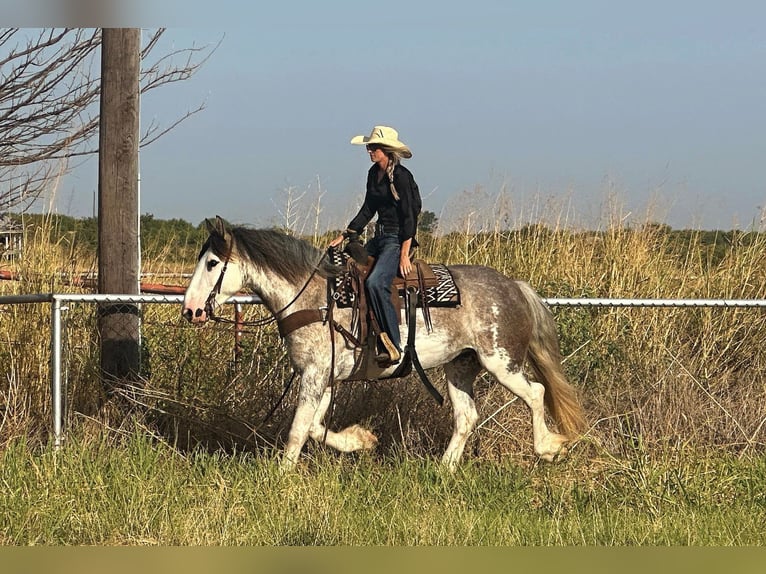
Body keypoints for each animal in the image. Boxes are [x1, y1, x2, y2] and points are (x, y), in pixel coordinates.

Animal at [183, 216, 584, 472]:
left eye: (212, 263)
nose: (191, 310)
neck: (317, 299)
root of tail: (514, 286)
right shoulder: (325, 377)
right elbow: (314, 426)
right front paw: (361, 441)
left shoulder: (314, 375)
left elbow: (299, 428)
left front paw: (281, 477)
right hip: (460, 366)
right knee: (467, 416)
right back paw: (443, 470)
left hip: (501, 363)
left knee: (535, 393)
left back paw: (548, 448)